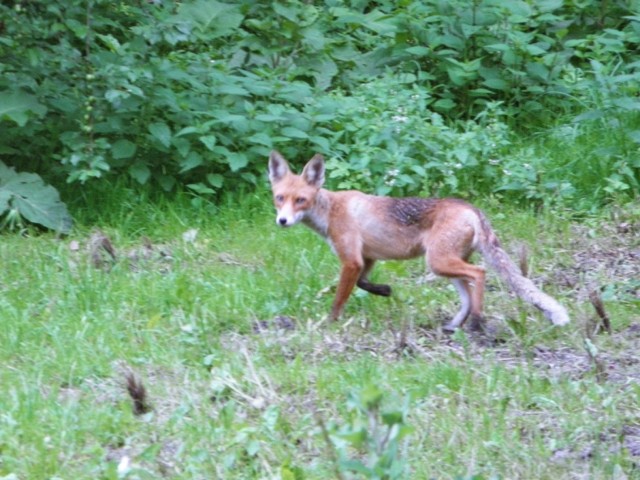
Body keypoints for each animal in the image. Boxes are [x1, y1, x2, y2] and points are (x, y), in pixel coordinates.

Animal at [268, 150, 572, 330]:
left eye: (301, 200)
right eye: (279, 198)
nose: (282, 221)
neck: (330, 211)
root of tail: (470, 207)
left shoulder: (351, 260)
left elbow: (340, 298)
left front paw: (329, 323)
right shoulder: (366, 258)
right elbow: (365, 284)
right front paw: (385, 290)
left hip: (438, 262)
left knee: (480, 273)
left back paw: (476, 323)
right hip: (445, 265)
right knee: (468, 290)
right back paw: (455, 325)